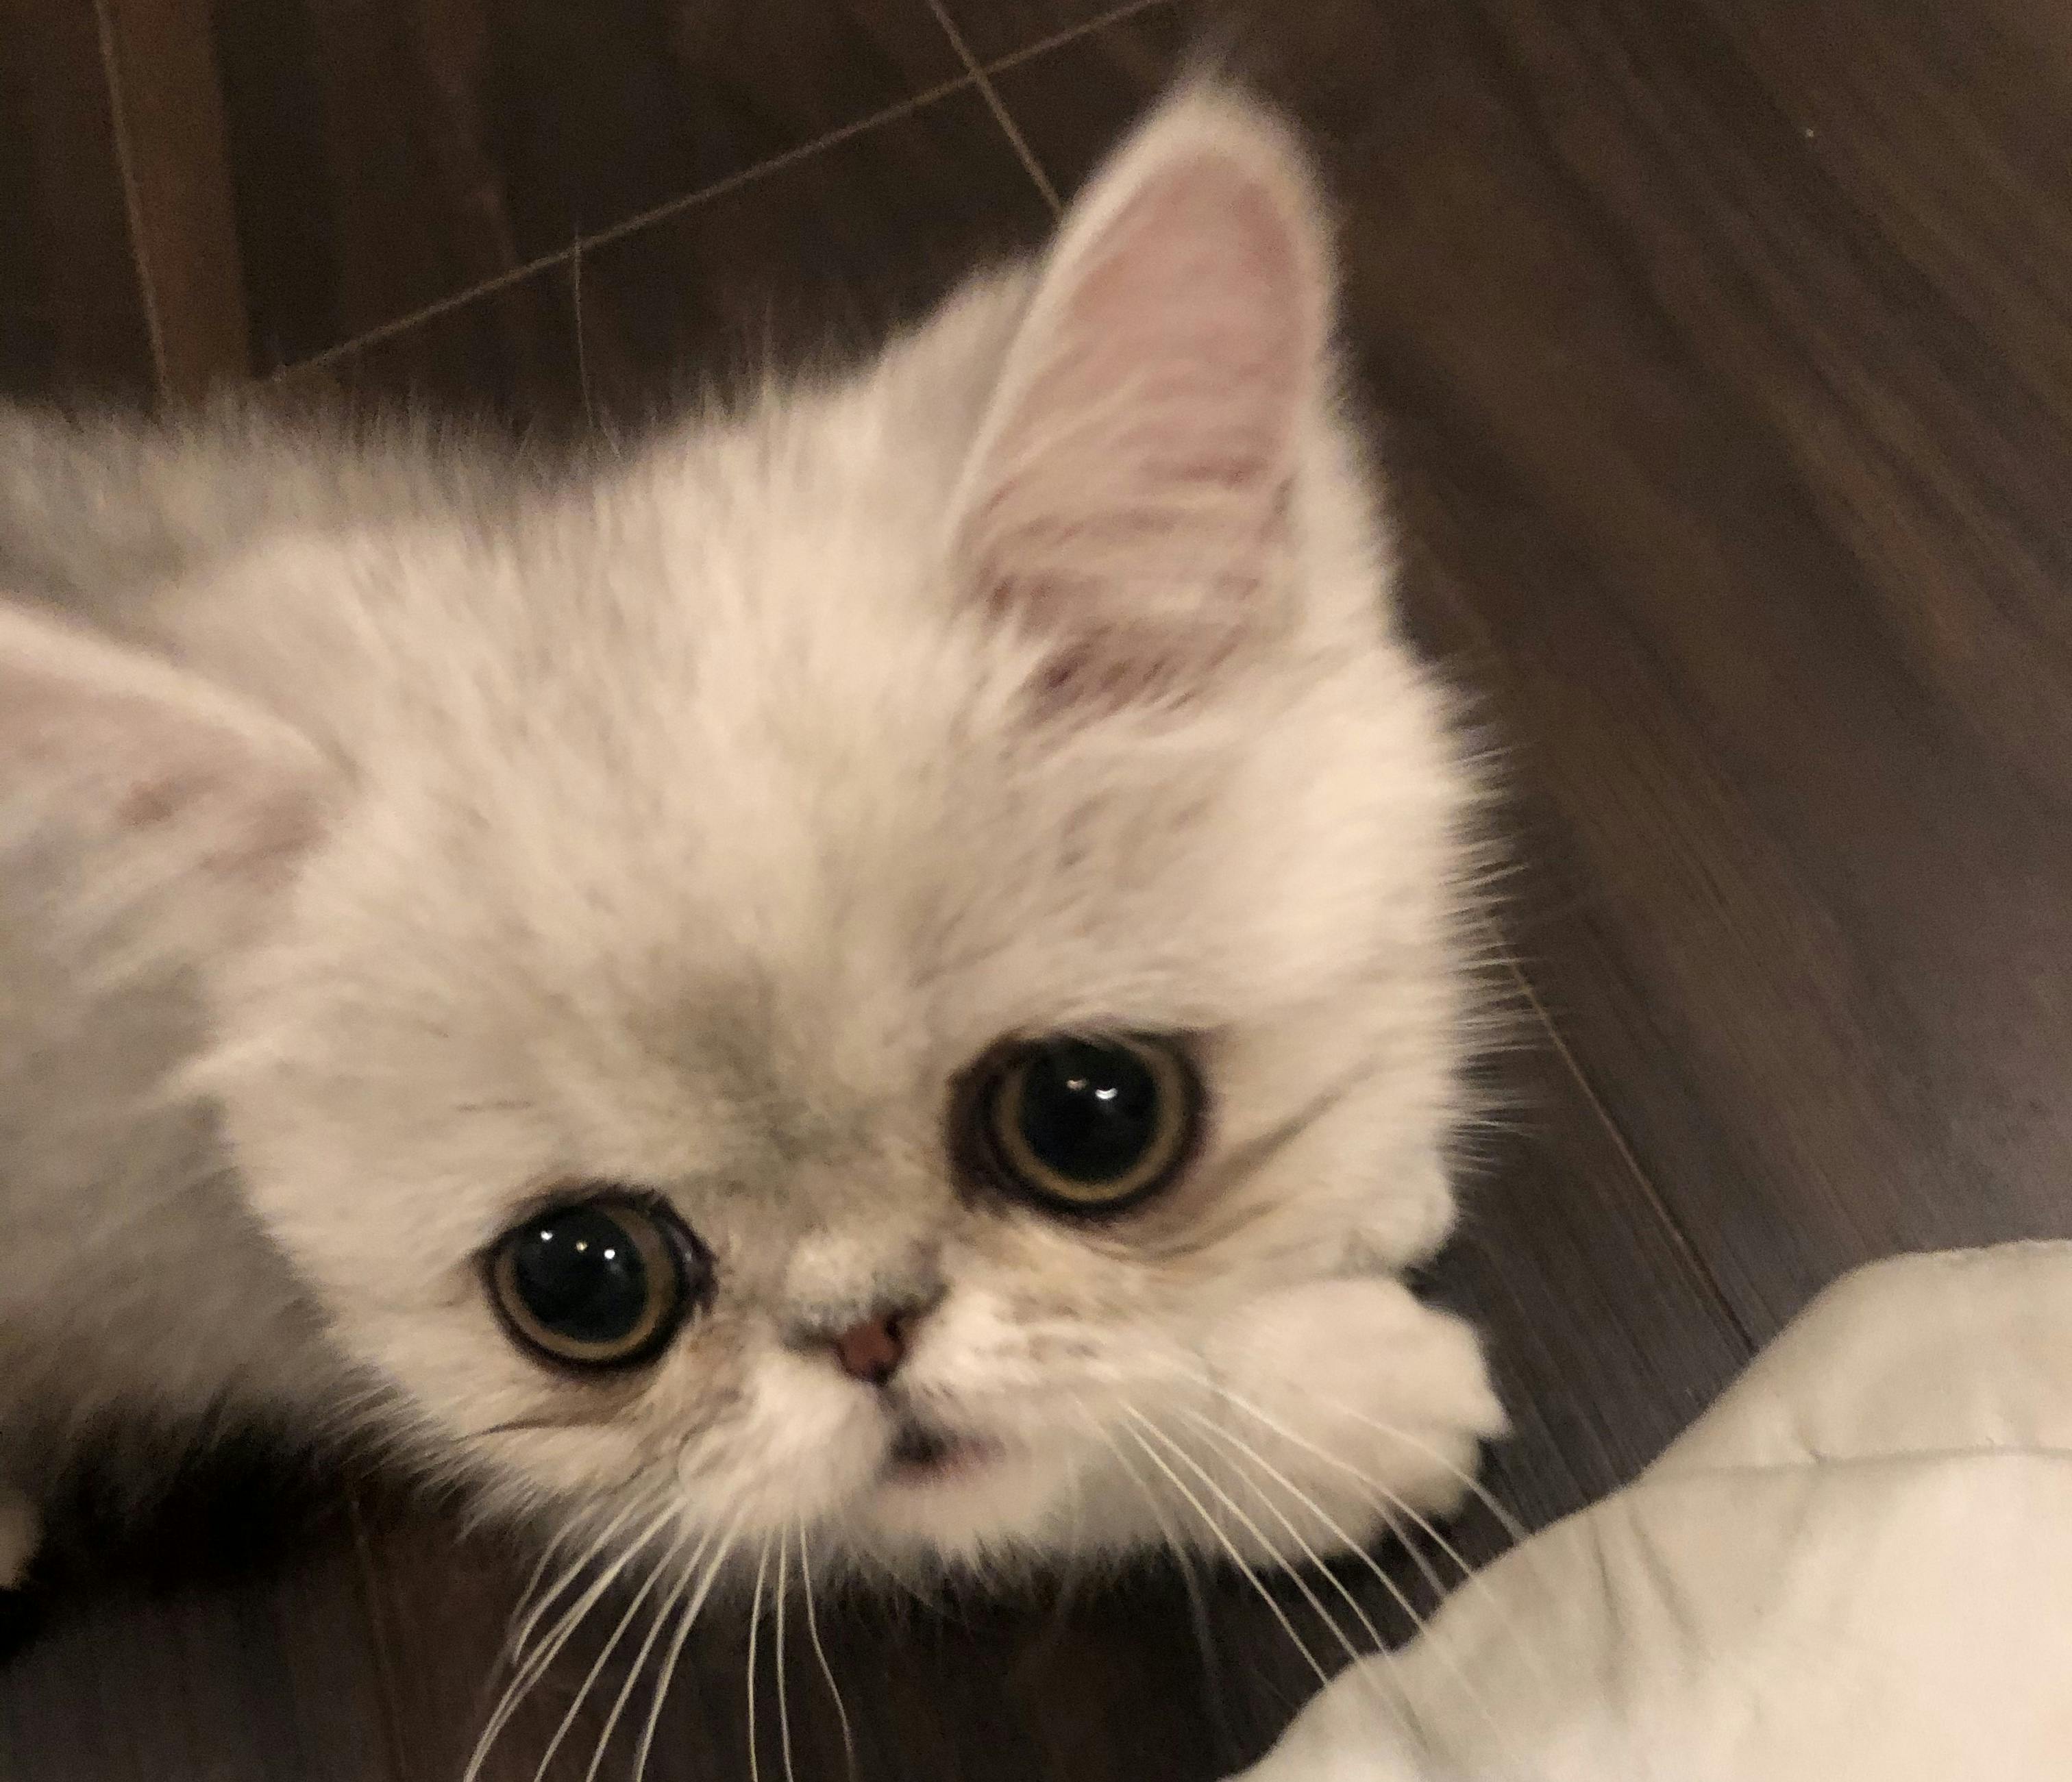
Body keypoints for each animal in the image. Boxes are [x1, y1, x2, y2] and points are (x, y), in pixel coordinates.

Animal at [0, 87, 1502, 1617]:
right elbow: (1025, 1469)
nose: (865, 1333)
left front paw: (1364, 1185)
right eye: (579, 1283)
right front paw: (1329, 1403)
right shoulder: (611, 1483)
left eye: (1091, 1111)